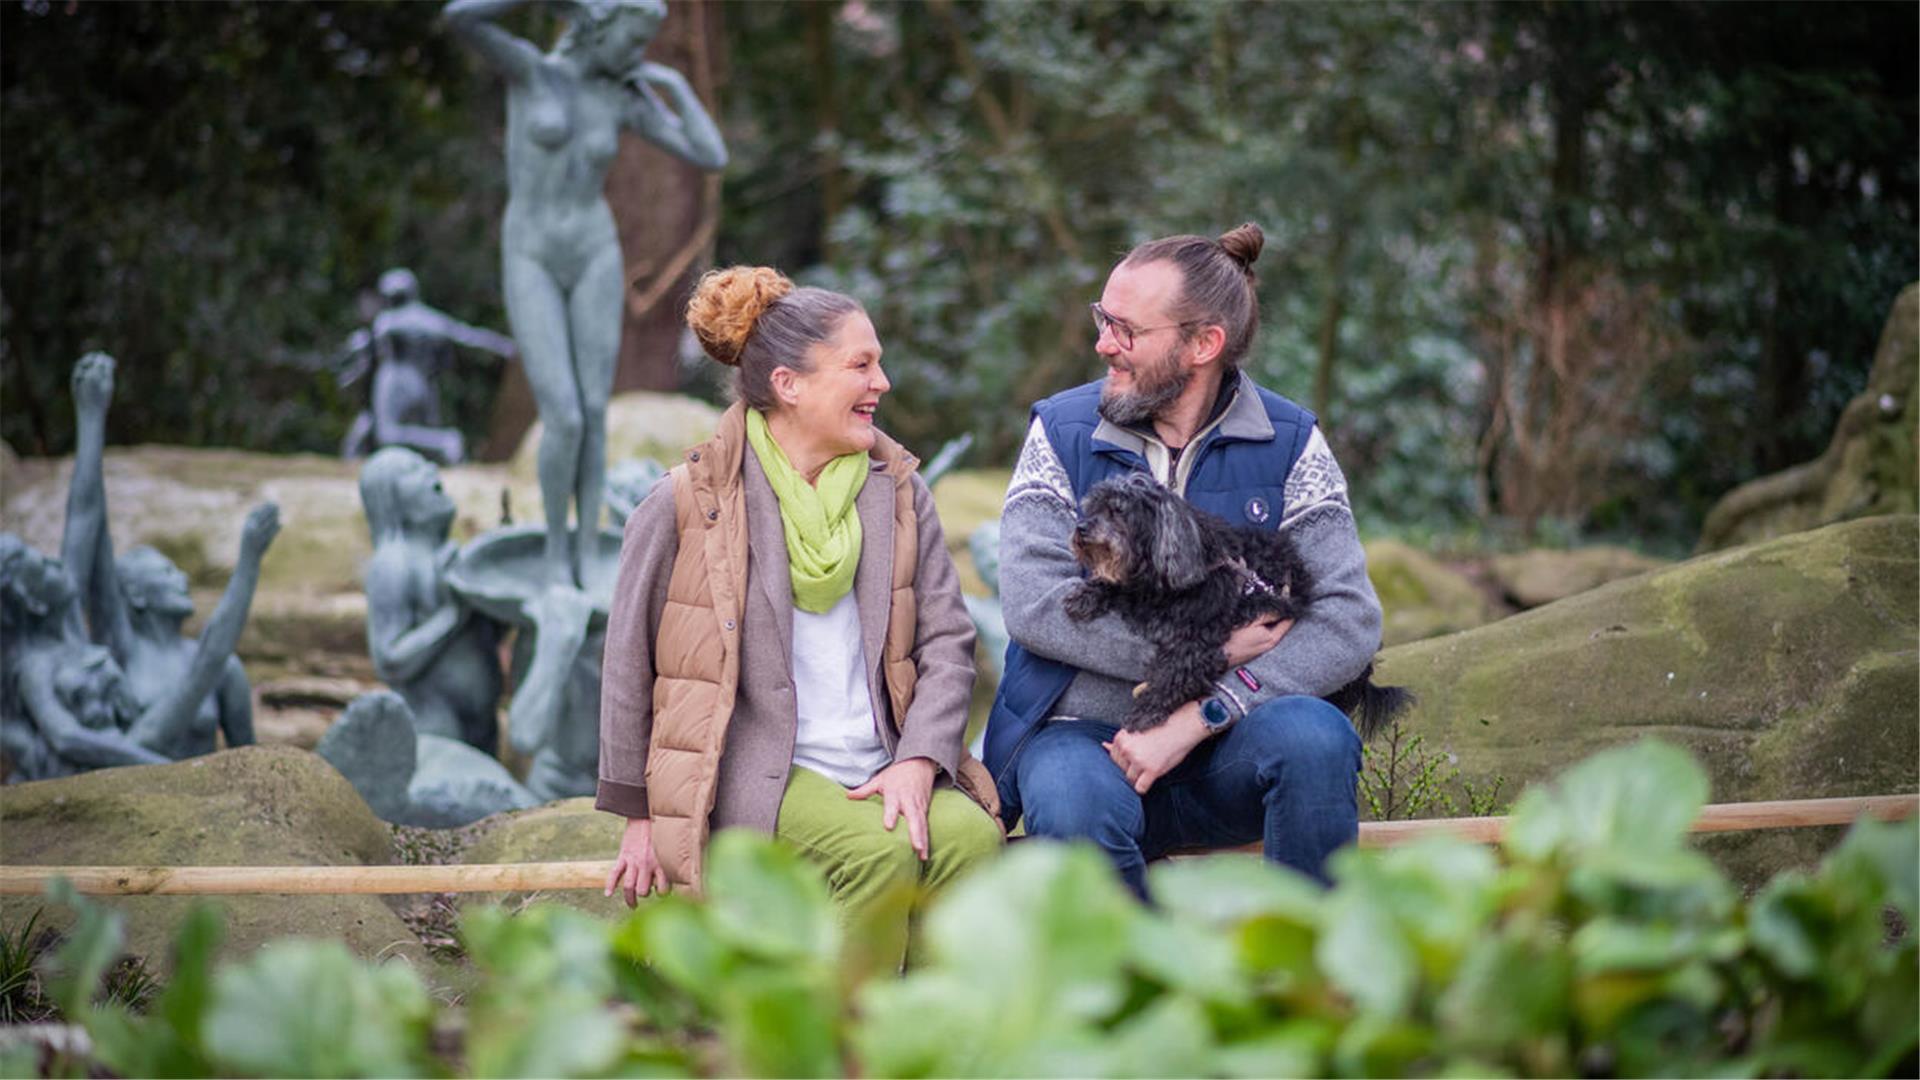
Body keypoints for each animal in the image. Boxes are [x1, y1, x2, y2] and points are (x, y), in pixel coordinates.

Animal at [1067, 470, 1413, 737]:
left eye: (1118, 511)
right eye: (1094, 507)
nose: (1081, 528)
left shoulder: (1198, 644)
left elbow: (1172, 674)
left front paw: (1145, 712)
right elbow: (1116, 586)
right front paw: (1087, 594)